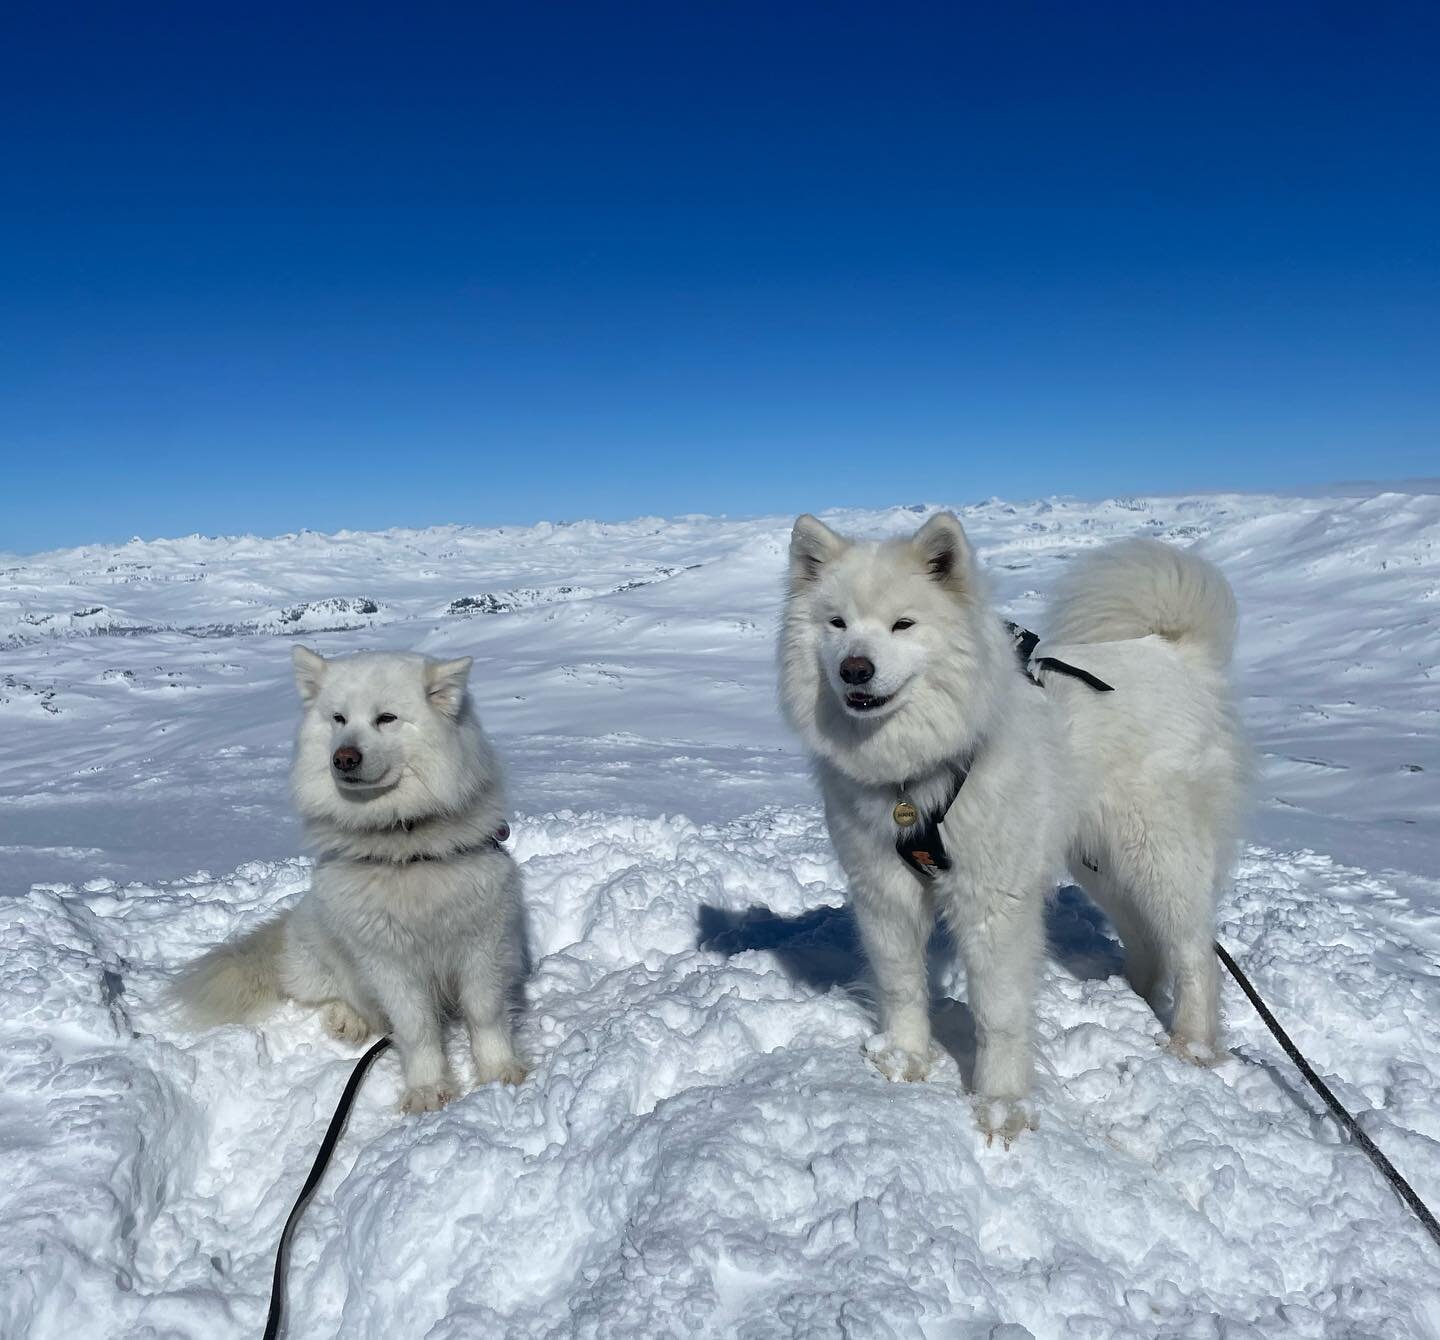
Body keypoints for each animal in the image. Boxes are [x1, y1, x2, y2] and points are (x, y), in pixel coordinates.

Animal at [174, 650, 524, 1111]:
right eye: (338, 719)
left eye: (386, 718)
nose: (343, 757)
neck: (403, 846)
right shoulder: (386, 959)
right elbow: (416, 1029)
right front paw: (427, 1090)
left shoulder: (482, 940)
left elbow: (484, 1013)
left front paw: (500, 1072)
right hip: (318, 959)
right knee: (332, 996)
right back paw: (347, 1020)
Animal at [777, 512, 1249, 1139]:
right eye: (837, 623)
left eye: (903, 624)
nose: (856, 668)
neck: (916, 774)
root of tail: (1173, 652)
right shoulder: (883, 888)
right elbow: (901, 983)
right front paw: (905, 1059)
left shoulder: (993, 901)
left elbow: (997, 1012)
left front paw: (1001, 1106)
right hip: (1100, 861)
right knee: (1147, 938)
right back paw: (1131, 997)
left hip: (1158, 853)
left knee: (1195, 951)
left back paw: (1191, 1046)